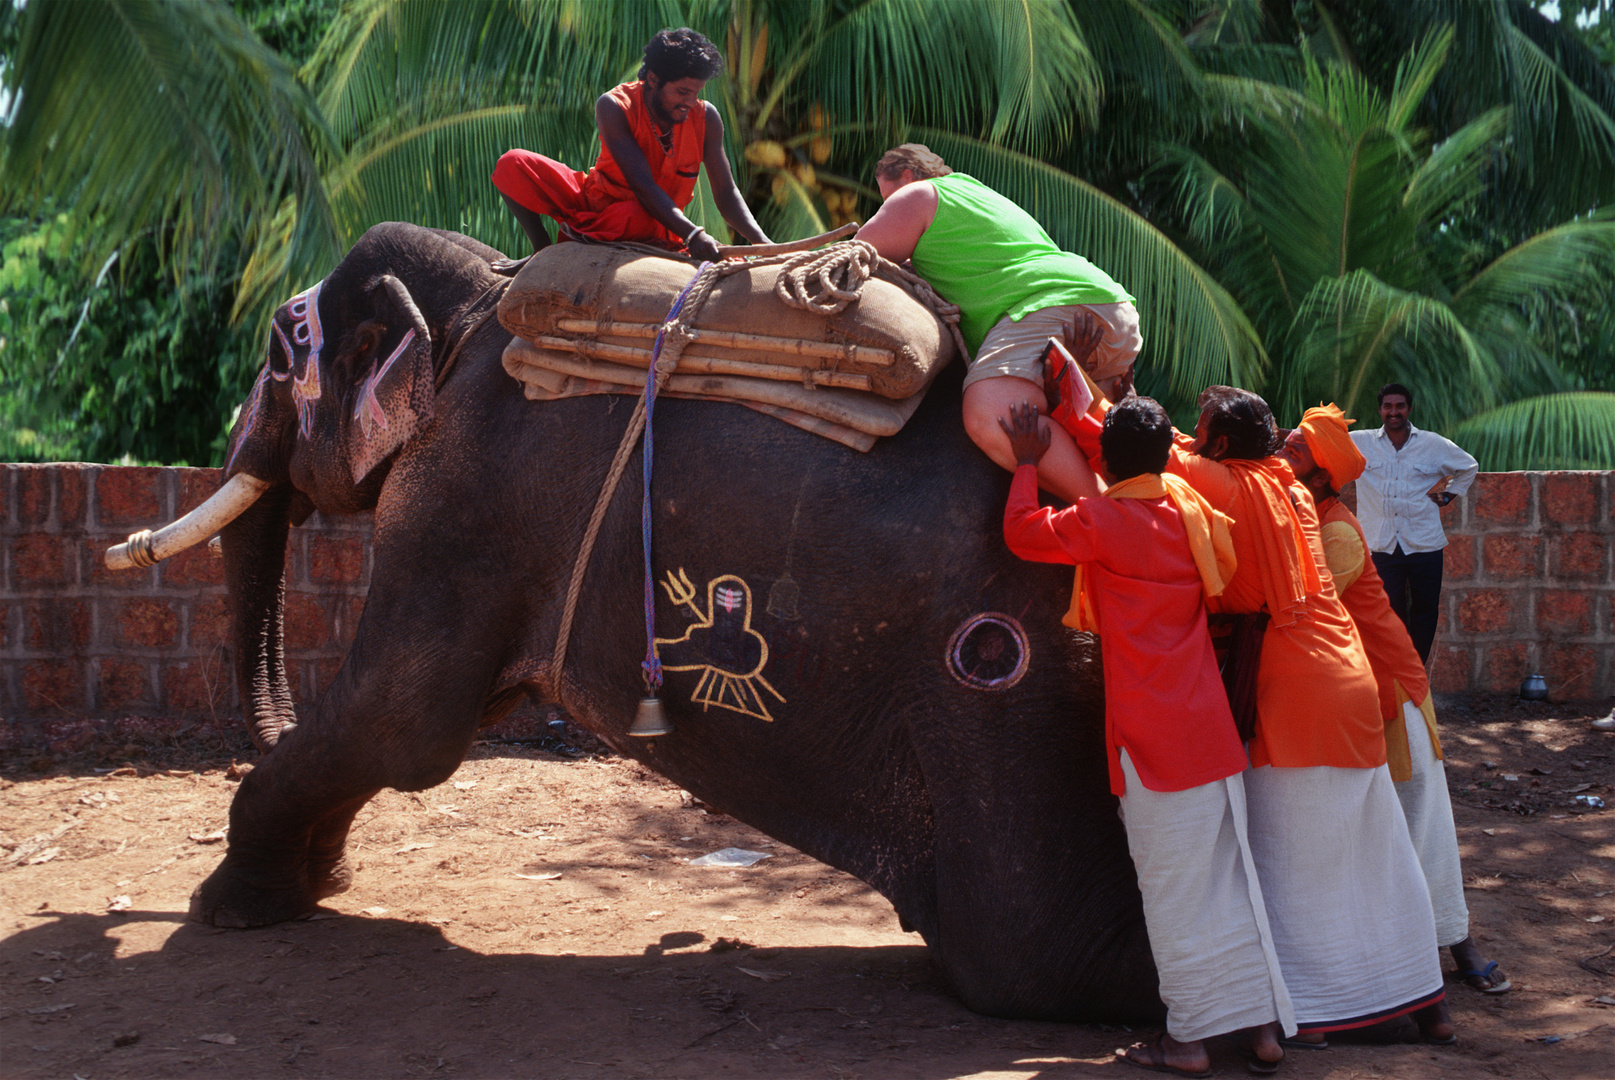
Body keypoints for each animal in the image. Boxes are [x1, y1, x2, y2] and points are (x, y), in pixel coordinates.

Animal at [157, 219, 1156, 1020]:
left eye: (280, 353)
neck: (480, 295)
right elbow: (444, 714)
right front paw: (321, 883)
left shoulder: (464, 487)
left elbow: (403, 724)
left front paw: (231, 910)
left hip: (1007, 706)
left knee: (1024, 957)